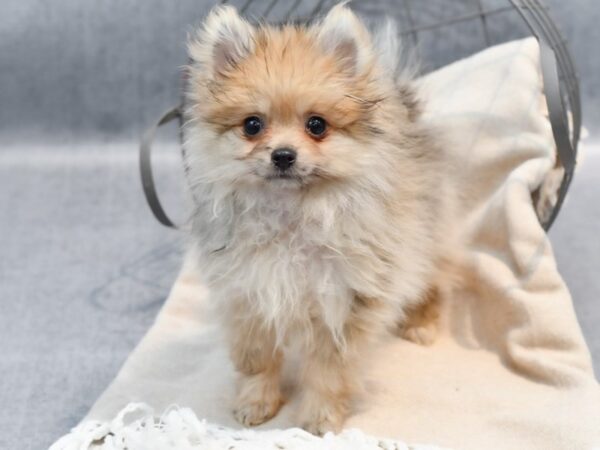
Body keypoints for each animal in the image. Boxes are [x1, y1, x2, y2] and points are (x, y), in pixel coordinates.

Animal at [183, 1, 454, 434]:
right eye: (252, 125)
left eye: (316, 125)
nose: (283, 155)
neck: (290, 214)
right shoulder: (249, 296)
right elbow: (257, 361)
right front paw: (256, 402)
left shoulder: (342, 305)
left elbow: (329, 371)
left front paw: (319, 417)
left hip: (423, 236)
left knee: (433, 279)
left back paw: (421, 323)